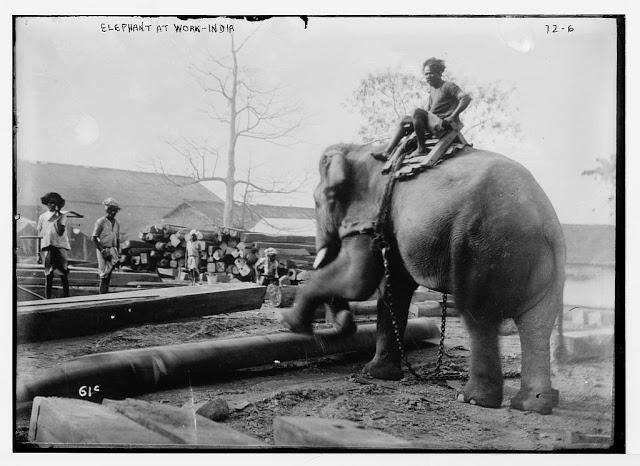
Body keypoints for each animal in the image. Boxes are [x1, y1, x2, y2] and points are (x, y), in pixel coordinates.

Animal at [280, 143, 564, 416]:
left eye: (320, 200)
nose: (345, 323)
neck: (361, 148)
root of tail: (545, 217)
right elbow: (394, 287)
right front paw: (376, 374)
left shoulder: (370, 216)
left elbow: (357, 280)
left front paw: (290, 323)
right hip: (541, 264)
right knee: (537, 324)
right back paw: (532, 405)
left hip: (483, 246)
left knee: (479, 316)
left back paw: (472, 399)